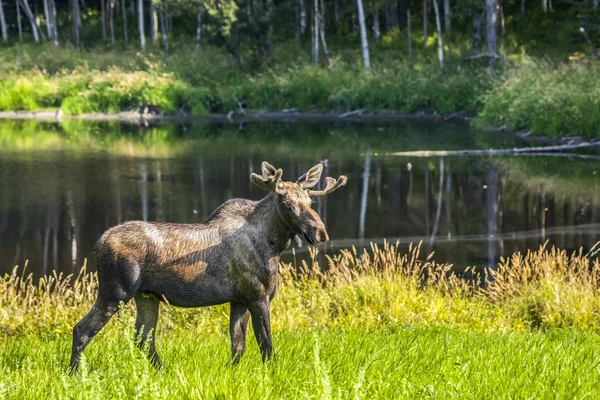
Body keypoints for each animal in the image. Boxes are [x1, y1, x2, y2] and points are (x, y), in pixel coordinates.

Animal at [69, 161, 346, 370]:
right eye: (288, 204)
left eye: (310, 202)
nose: (320, 232)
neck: (273, 245)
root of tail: (97, 244)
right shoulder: (257, 296)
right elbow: (266, 345)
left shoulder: (238, 300)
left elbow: (238, 346)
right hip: (115, 292)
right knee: (82, 329)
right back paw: (75, 373)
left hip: (147, 296)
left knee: (143, 337)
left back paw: (164, 371)